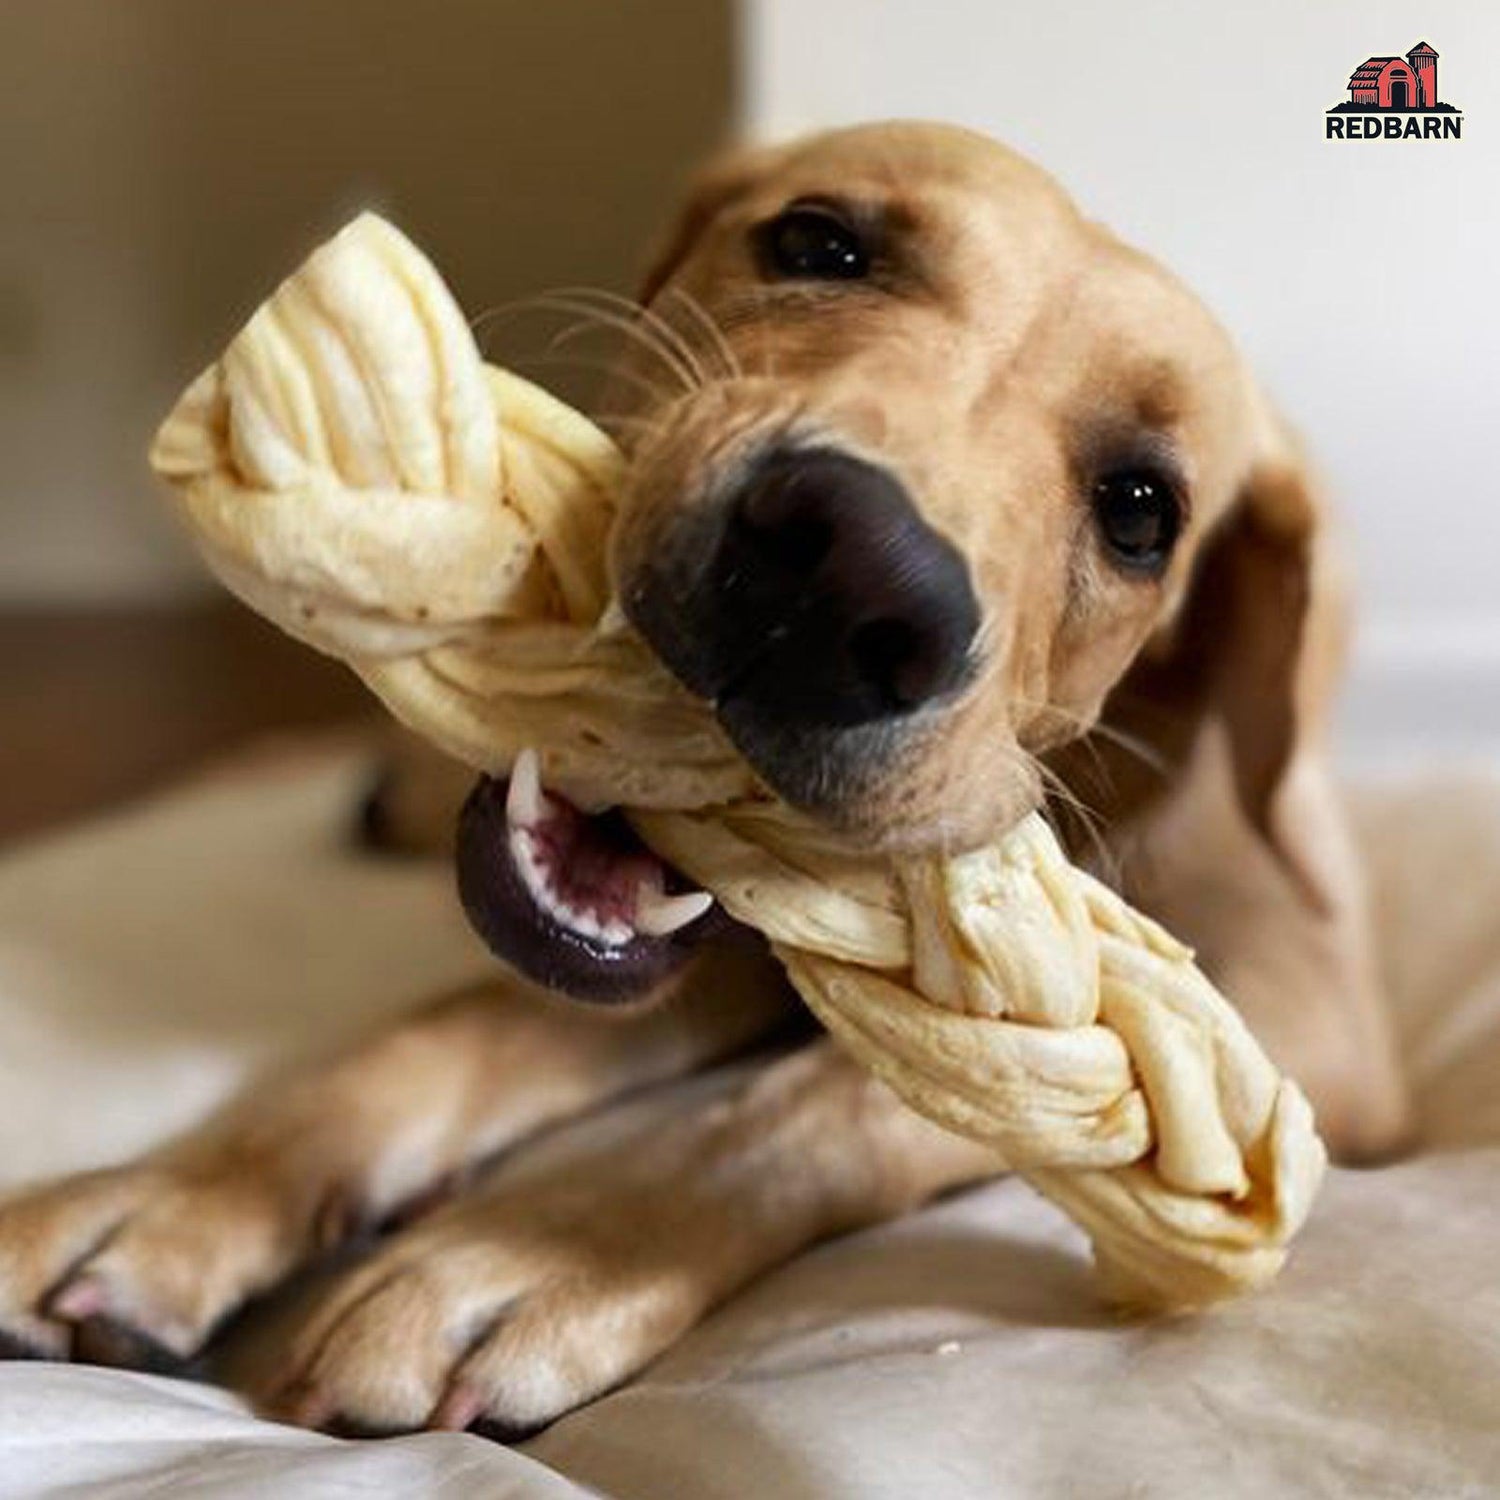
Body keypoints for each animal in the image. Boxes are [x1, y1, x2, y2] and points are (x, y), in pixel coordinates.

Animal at [0, 126, 1404, 1440]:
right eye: (820, 244)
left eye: (1141, 512)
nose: (847, 580)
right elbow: (462, 1027)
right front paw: (173, 1199)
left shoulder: (1290, 1029)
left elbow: (819, 1109)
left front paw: (519, 1258)